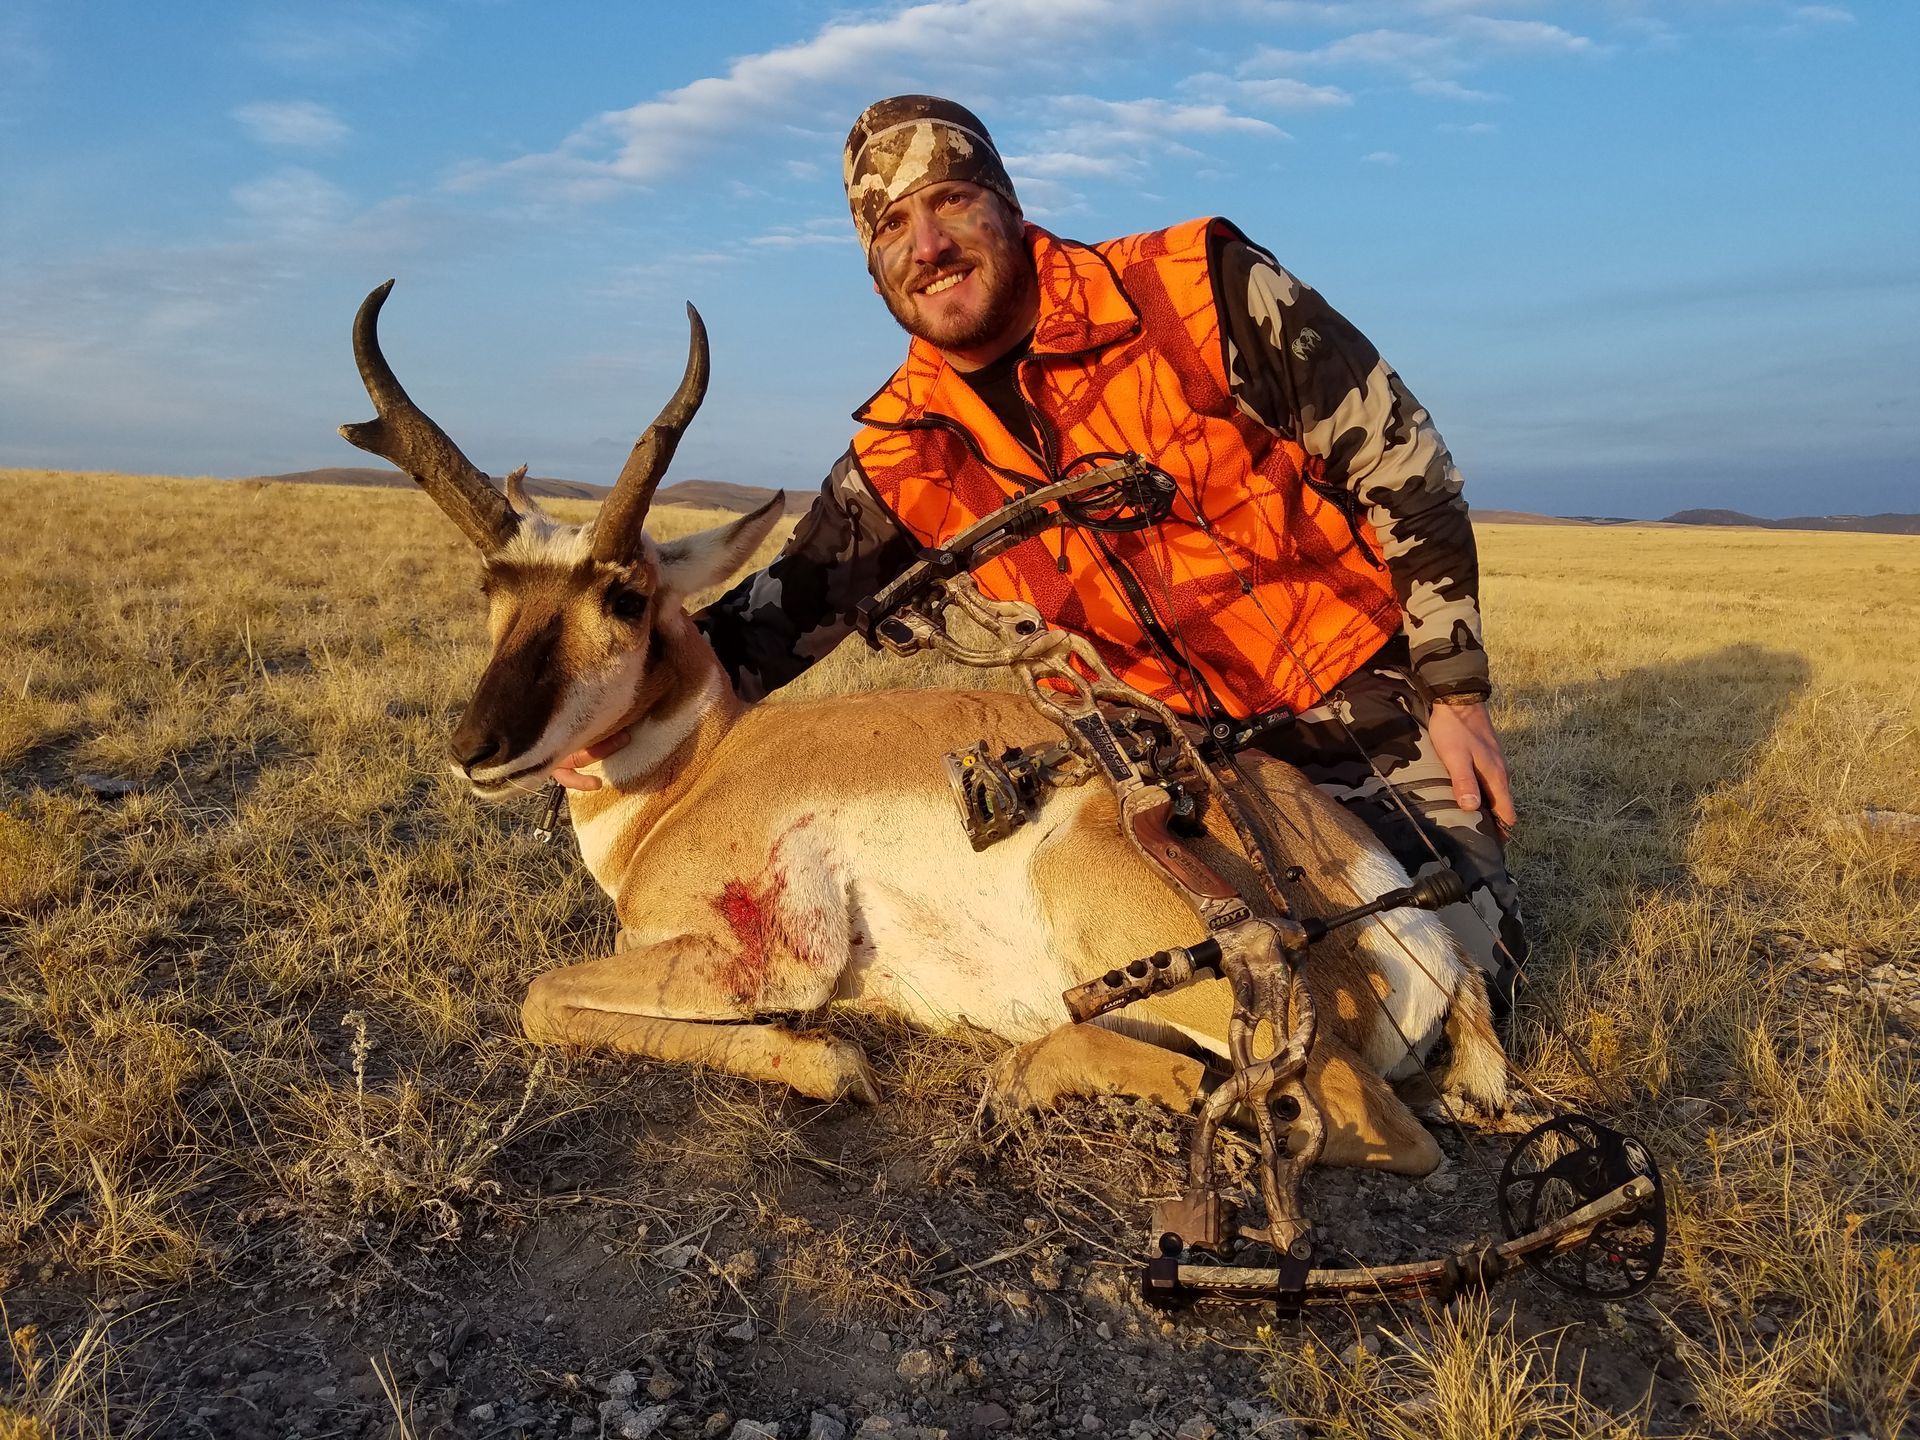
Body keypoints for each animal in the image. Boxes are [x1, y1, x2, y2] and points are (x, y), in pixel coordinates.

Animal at [341, 283, 1509, 1177]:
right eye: (491, 588)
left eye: (623, 597)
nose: (477, 750)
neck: (697, 772)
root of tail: (1399, 901)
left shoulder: (755, 962)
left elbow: (541, 997)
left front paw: (825, 1062)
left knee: (1360, 1123)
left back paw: (1034, 1069)